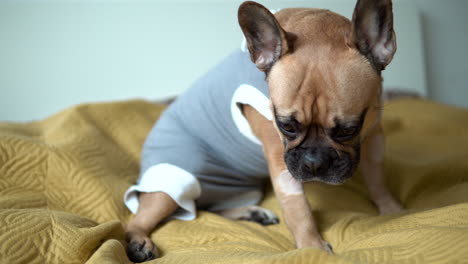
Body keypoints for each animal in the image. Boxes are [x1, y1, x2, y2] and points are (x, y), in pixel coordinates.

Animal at [123, 0, 402, 260]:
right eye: (286, 126)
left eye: (347, 130)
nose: (314, 162)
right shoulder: (281, 161)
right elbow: (298, 207)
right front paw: (312, 246)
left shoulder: (373, 134)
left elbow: (377, 179)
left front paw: (392, 210)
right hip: (173, 182)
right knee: (136, 219)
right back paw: (138, 242)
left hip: (243, 191)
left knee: (208, 209)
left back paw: (251, 212)